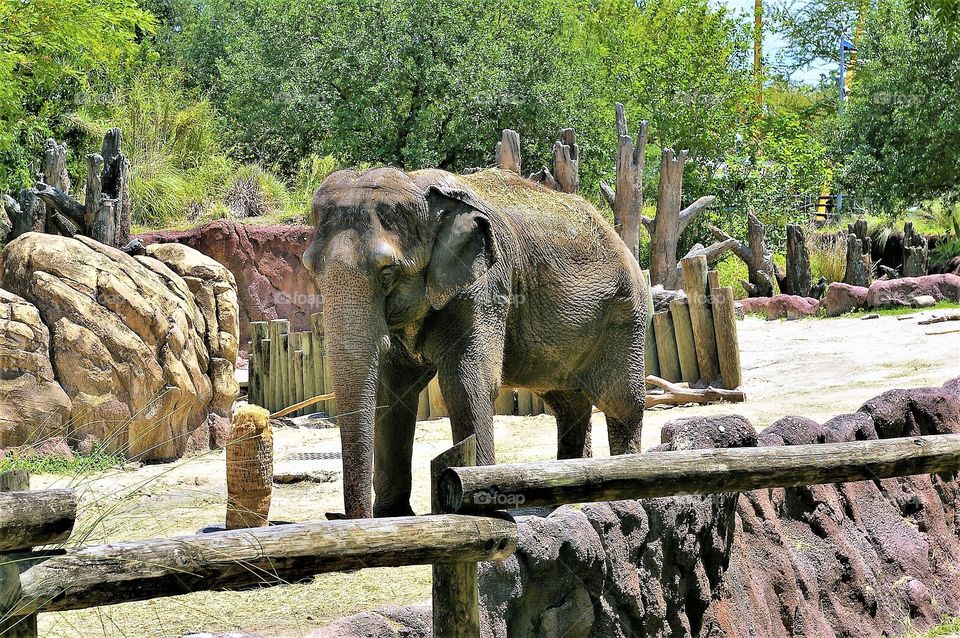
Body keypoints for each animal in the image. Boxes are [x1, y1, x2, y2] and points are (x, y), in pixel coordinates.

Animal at [304, 165, 648, 520]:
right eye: (310, 271)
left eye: (388, 271)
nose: (340, 517)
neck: (417, 185)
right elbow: (394, 392)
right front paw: (393, 517)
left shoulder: (485, 284)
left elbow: (466, 384)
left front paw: (481, 509)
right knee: (568, 403)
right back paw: (564, 500)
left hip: (625, 314)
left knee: (620, 401)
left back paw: (625, 495)